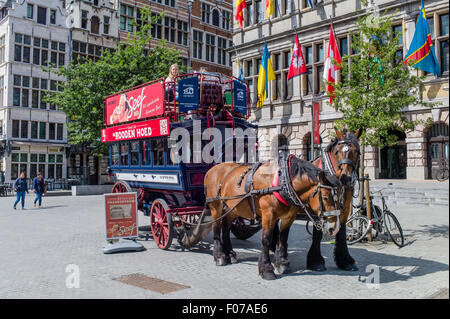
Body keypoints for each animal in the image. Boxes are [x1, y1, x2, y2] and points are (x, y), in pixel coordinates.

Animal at [205, 156, 342, 282]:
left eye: (340, 197)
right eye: (325, 198)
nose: (333, 228)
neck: (282, 183)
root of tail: (212, 169)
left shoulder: (289, 217)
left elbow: (282, 238)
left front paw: (282, 263)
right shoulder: (268, 215)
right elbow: (266, 240)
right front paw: (266, 269)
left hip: (233, 208)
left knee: (226, 227)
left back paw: (229, 253)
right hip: (215, 206)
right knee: (216, 227)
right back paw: (219, 256)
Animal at [270, 129, 362, 274]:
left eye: (357, 151)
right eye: (337, 151)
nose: (345, 178)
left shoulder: (343, 210)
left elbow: (341, 232)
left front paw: (345, 261)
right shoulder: (317, 209)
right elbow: (318, 234)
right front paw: (316, 261)